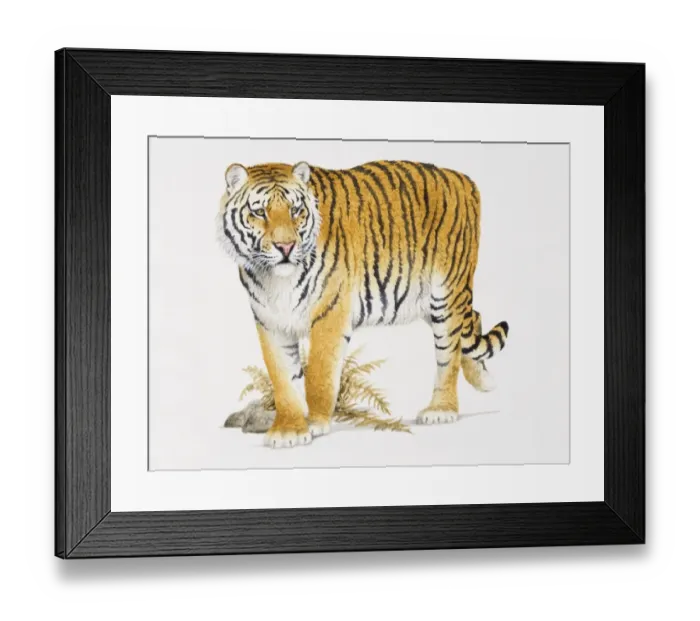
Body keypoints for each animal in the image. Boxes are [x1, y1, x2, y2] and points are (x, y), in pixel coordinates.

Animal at [218, 160, 510, 448]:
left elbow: (319, 375)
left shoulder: (330, 314)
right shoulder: (271, 322)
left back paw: (442, 409)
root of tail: (463, 179)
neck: (275, 280)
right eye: (259, 212)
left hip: (446, 293)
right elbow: (283, 380)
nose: (286, 247)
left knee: (449, 352)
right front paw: (289, 430)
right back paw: (484, 380)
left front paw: (315, 423)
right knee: (473, 319)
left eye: (296, 210)